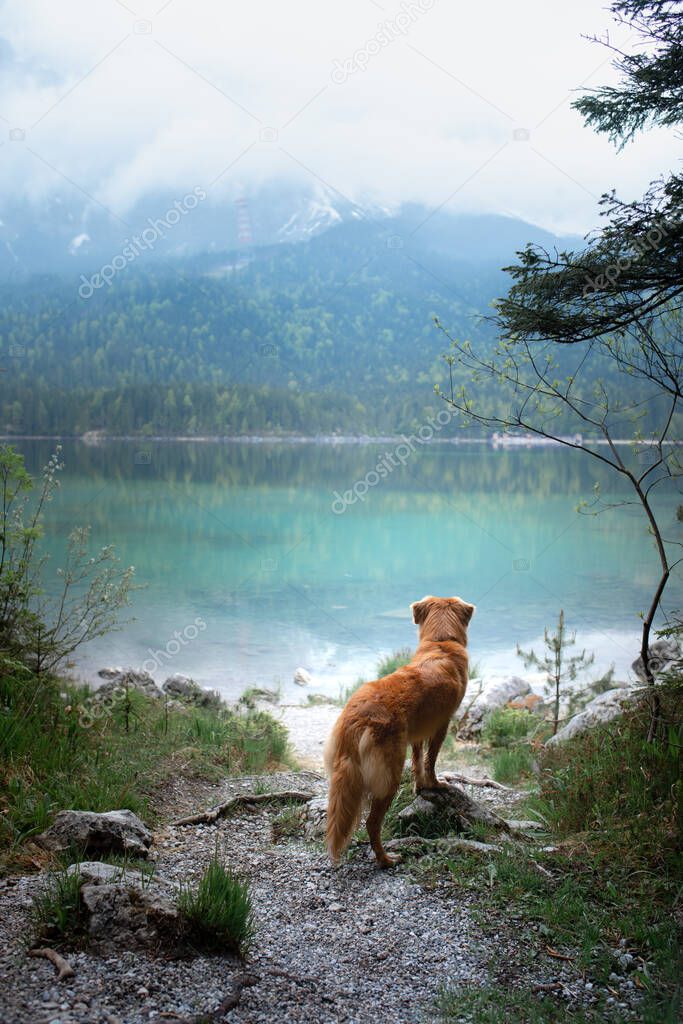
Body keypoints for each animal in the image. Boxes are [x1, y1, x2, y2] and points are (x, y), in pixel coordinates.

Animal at [323, 598, 473, 868]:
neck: (440, 643)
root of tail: (355, 719)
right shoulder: (442, 724)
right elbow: (430, 760)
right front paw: (435, 785)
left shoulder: (416, 732)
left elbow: (417, 760)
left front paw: (420, 786)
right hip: (389, 774)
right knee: (372, 823)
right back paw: (386, 859)